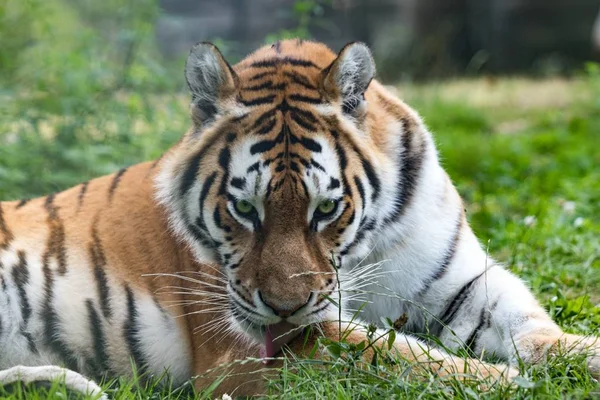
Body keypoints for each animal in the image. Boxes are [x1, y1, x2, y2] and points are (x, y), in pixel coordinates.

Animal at [0, 39, 596, 396]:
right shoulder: (259, 350)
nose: (283, 308)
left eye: (326, 208)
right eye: (244, 209)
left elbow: (535, 330)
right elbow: (393, 356)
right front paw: (507, 383)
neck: (368, 246)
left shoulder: (463, 284)